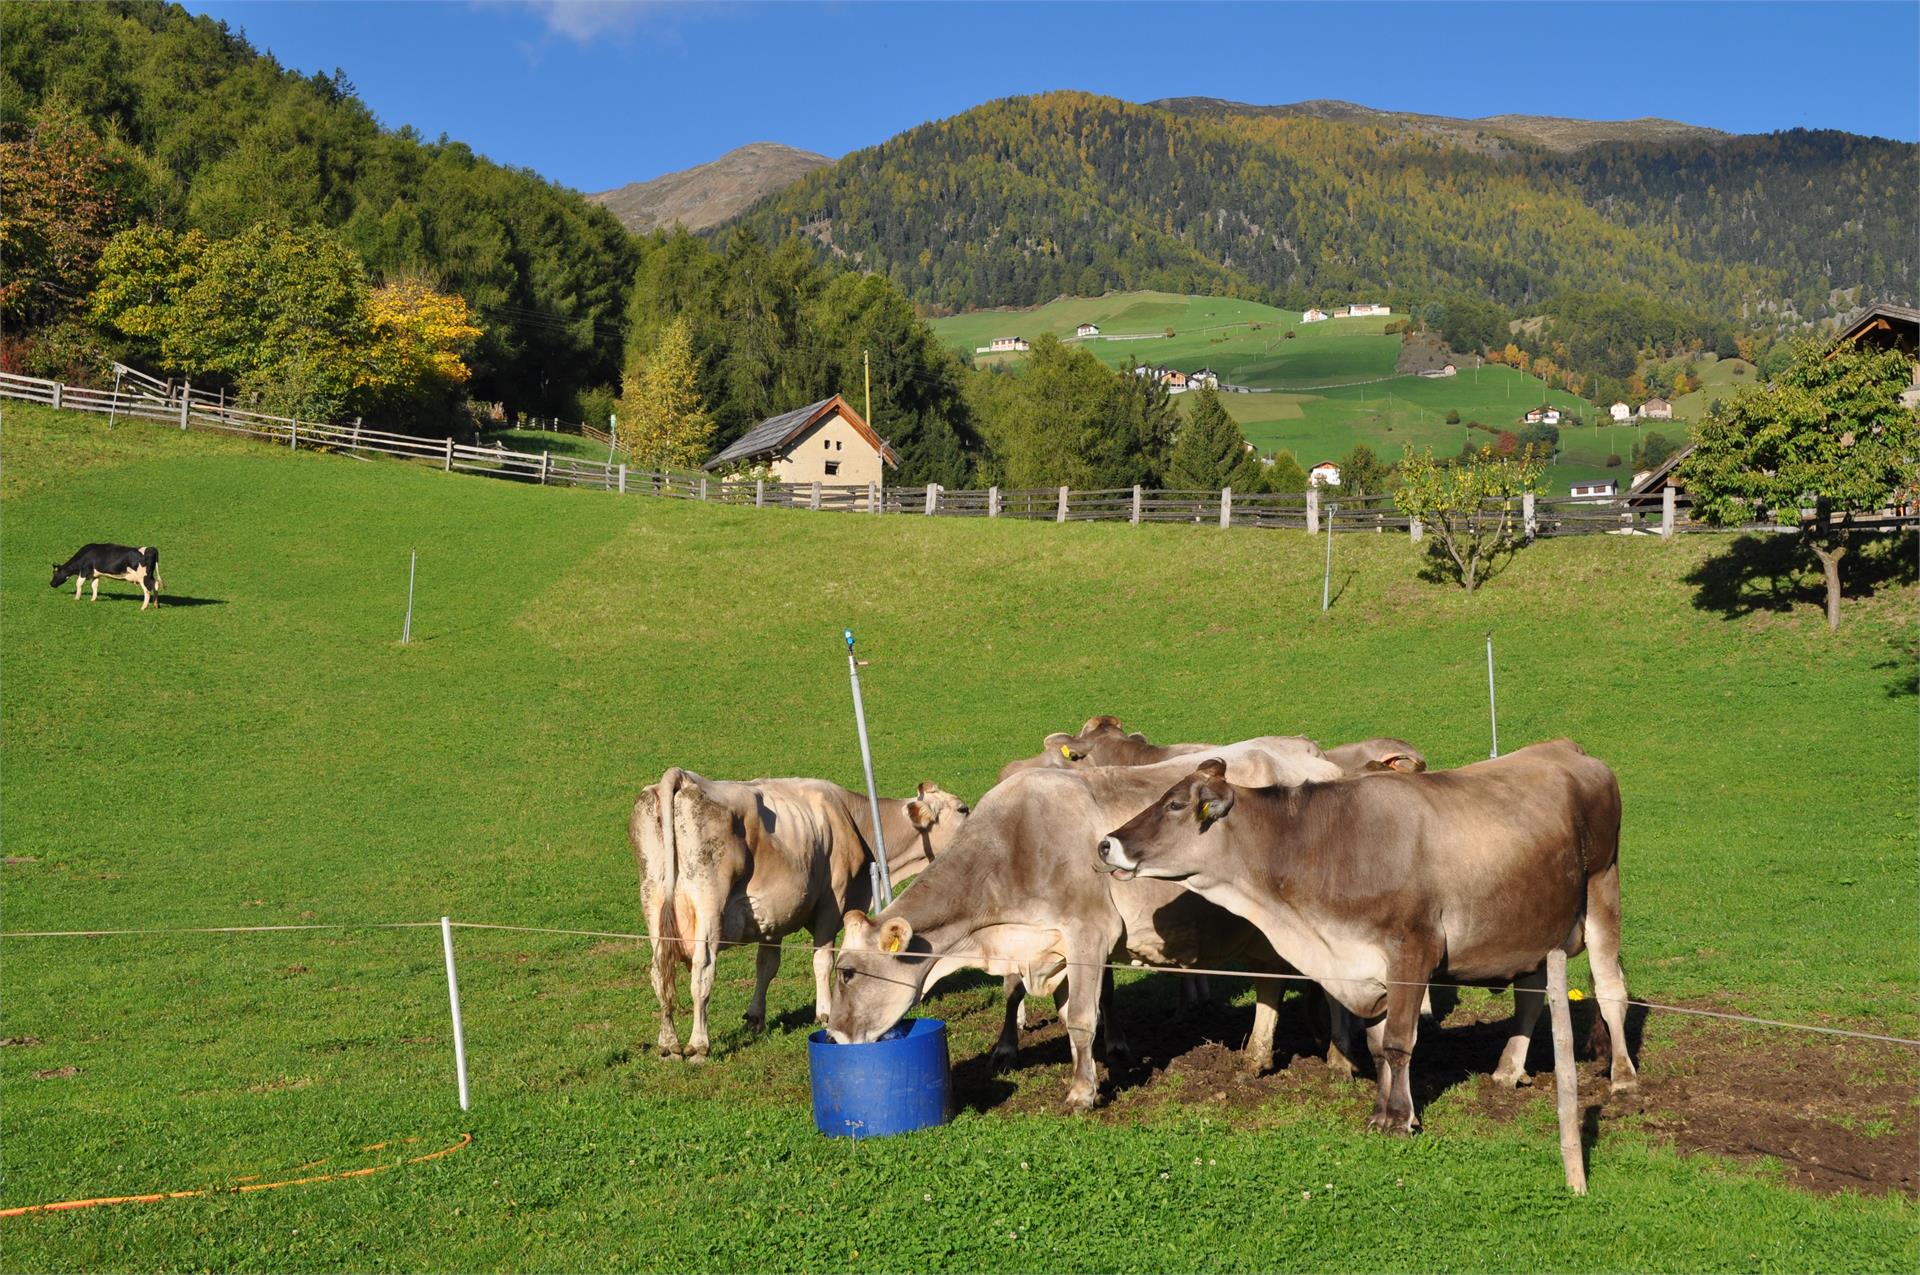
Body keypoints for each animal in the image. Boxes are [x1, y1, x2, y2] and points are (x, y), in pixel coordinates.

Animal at [625, 771, 960, 1059]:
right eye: (962, 809)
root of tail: (683, 777)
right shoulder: (831, 904)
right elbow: (823, 960)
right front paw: (824, 1012)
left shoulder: (771, 917)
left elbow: (766, 966)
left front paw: (755, 1018)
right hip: (709, 902)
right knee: (702, 971)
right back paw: (698, 1044)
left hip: (652, 898)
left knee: (659, 972)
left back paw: (668, 1043)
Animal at [829, 741, 1351, 1113]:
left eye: (847, 972)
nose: (833, 1037)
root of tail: (1325, 764)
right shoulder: (1047, 946)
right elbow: (1062, 1016)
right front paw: (1090, 1071)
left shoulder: (1089, 930)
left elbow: (1082, 1017)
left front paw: (1082, 1094)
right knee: (1273, 981)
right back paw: (1259, 1055)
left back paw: (1338, 1060)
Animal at [1098, 737, 1635, 1136]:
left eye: (1174, 804)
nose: (1106, 843)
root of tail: (1567, 749)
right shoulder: (1364, 965)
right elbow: (1377, 1048)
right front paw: (1383, 1110)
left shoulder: (1412, 952)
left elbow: (1398, 1042)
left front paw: (1399, 1120)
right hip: (1532, 926)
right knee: (1530, 995)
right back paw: (1506, 1070)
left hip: (1602, 889)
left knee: (1611, 989)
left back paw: (1624, 1079)